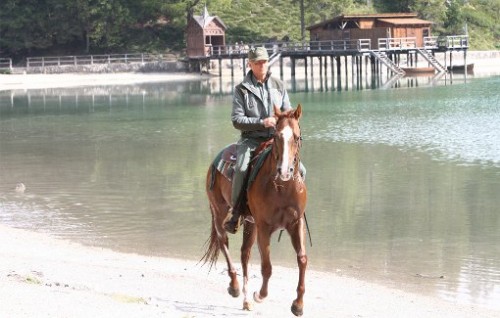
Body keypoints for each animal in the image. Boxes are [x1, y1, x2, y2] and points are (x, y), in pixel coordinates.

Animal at [202, 103, 304, 316]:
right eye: (277, 136)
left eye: (297, 137)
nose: (284, 171)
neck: (282, 187)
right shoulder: (264, 227)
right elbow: (267, 266)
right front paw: (260, 295)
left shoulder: (296, 223)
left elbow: (302, 259)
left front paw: (298, 305)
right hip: (220, 212)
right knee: (224, 242)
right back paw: (235, 287)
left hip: (250, 223)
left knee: (244, 254)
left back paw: (246, 301)